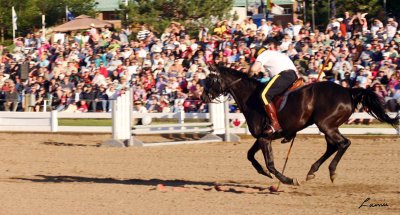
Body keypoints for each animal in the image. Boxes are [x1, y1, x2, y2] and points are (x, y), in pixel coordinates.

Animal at [202, 66, 398, 186]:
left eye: (210, 79)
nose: (202, 97)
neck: (251, 98)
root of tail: (347, 91)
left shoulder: (265, 138)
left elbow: (270, 163)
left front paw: (286, 180)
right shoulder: (264, 137)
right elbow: (250, 156)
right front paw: (263, 172)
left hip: (326, 125)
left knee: (343, 144)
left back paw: (331, 172)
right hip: (329, 126)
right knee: (332, 146)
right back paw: (312, 171)